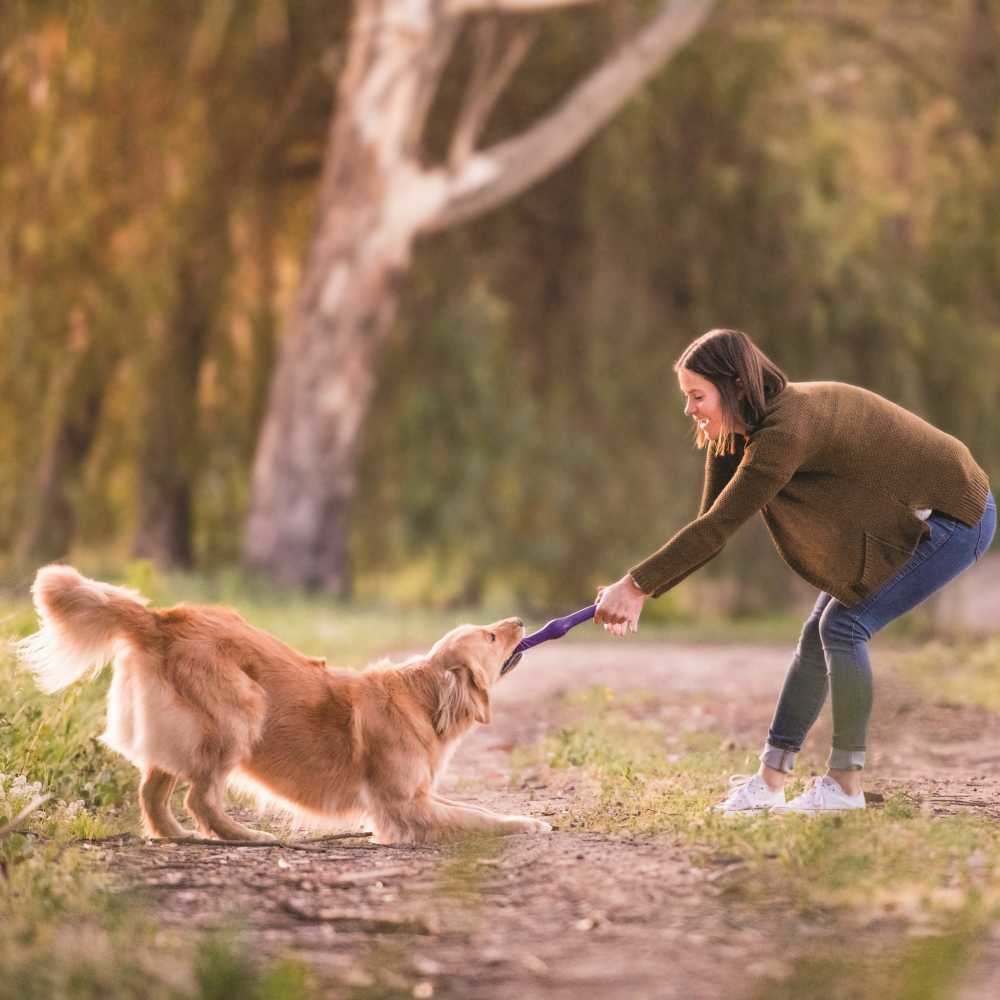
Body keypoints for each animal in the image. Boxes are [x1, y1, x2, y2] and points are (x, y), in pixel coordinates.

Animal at [15, 564, 552, 844]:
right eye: (489, 636)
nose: (521, 620)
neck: (423, 702)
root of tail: (162, 618)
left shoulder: (417, 797)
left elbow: (472, 808)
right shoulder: (406, 804)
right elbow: (478, 817)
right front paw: (529, 822)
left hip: (180, 731)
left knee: (153, 794)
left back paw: (178, 836)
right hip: (240, 710)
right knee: (198, 797)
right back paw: (245, 837)